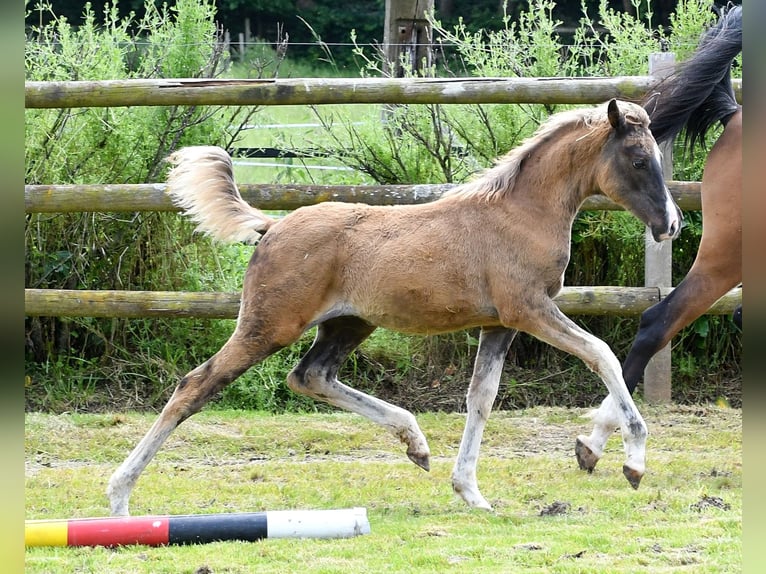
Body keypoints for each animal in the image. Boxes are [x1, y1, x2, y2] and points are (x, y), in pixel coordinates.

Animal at [108, 99, 684, 516]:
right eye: (639, 160)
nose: (671, 225)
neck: (519, 214)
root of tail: (271, 226)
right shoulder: (529, 310)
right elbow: (602, 354)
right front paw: (632, 460)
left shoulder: (499, 324)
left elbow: (481, 398)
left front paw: (470, 492)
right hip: (268, 325)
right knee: (196, 385)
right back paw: (119, 495)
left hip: (348, 324)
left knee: (310, 376)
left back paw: (415, 443)